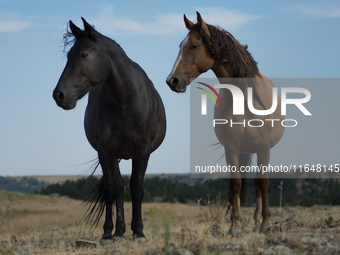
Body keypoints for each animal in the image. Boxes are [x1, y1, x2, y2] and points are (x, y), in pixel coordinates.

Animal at [52, 17, 167, 245]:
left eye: (83, 54)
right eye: (68, 55)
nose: (59, 95)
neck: (125, 102)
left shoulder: (142, 152)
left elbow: (137, 188)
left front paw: (139, 232)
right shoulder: (106, 151)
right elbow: (110, 190)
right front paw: (107, 233)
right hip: (115, 156)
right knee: (118, 187)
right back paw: (119, 231)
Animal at [167, 12, 284, 235]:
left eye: (194, 45)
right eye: (179, 45)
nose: (172, 81)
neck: (246, 98)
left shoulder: (264, 147)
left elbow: (263, 183)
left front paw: (266, 223)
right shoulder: (232, 148)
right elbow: (235, 184)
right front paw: (235, 226)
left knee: (259, 184)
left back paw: (259, 221)